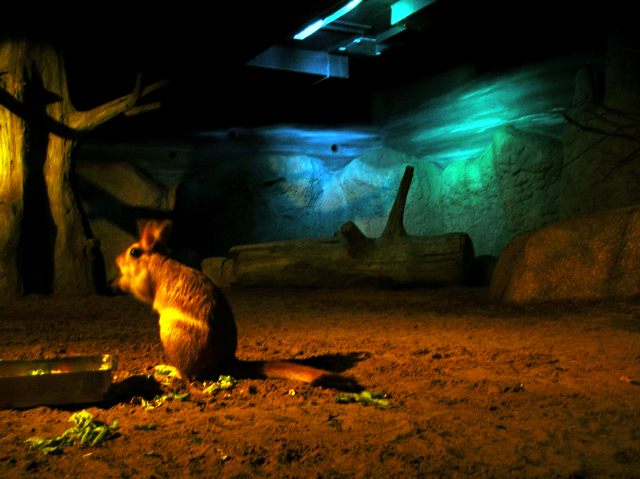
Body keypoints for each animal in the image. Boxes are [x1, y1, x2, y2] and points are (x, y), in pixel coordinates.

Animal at [112, 219, 352, 388]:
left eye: (133, 252)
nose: (115, 260)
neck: (156, 259)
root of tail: (227, 361)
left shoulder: (144, 285)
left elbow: (136, 288)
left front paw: (119, 282)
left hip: (169, 333)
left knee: (187, 375)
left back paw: (168, 371)